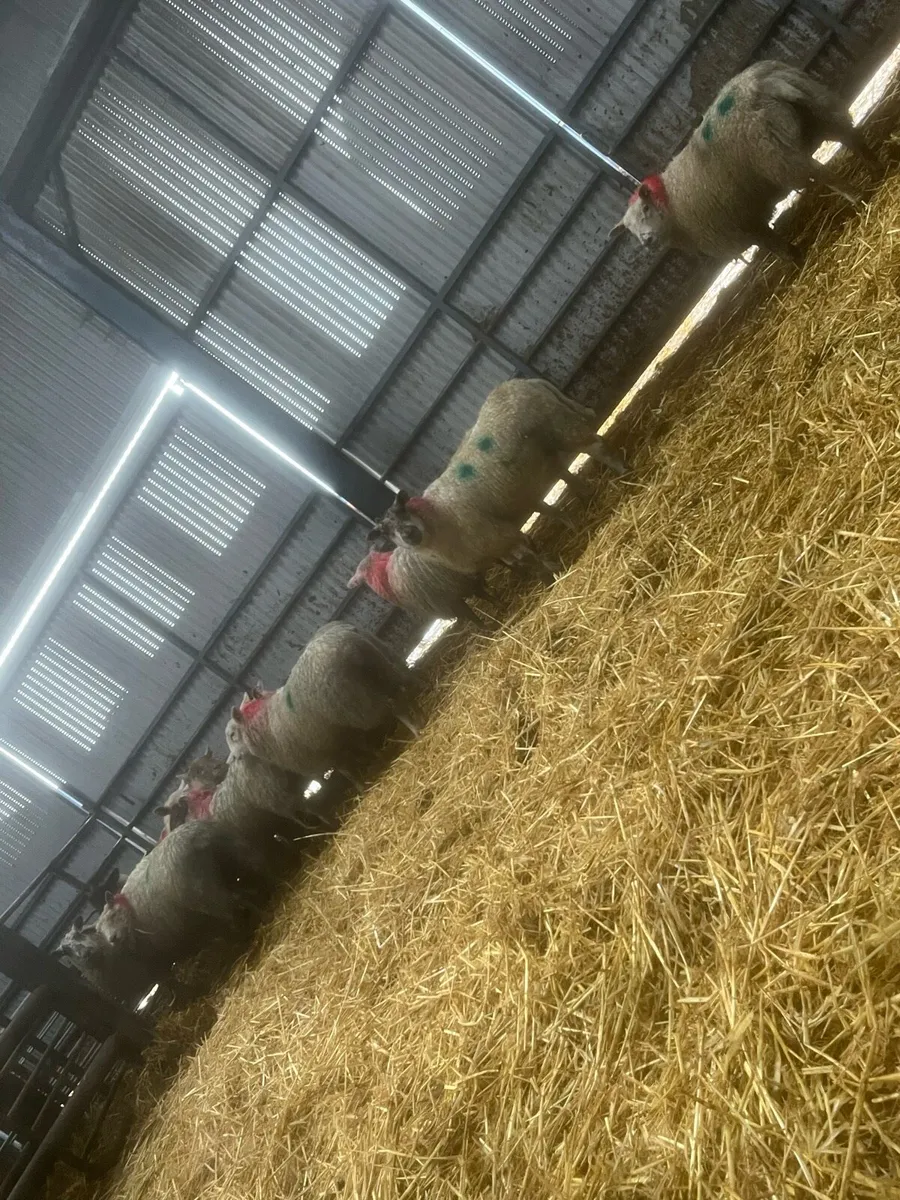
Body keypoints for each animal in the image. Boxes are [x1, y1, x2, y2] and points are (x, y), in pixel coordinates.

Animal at [225, 622, 419, 782]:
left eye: (232, 735)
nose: (230, 761)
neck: (264, 721)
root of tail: (348, 638)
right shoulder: (344, 737)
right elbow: (368, 749)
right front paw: (379, 758)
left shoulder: (326, 756)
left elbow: (348, 773)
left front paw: (361, 786)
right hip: (384, 667)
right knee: (407, 680)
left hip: (360, 704)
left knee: (395, 707)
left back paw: (417, 730)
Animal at [609, 60, 877, 263]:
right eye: (629, 230)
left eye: (645, 208)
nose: (647, 242)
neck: (672, 203)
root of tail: (760, 84)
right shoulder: (746, 217)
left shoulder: (736, 228)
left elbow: (771, 244)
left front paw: (794, 259)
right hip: (819, 108)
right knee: (849, 135)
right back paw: (875, 166)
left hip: (777, 156)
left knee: (822, 173)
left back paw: (858, 197)